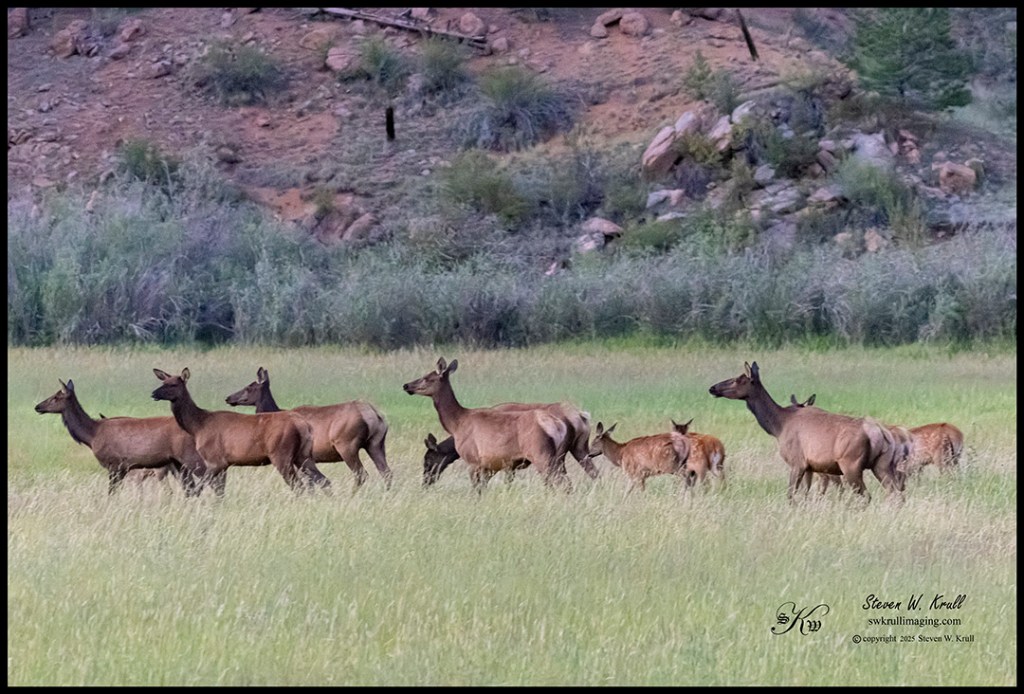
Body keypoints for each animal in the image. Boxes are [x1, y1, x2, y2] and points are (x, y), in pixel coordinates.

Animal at [34, 379, 205, 496]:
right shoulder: (124, 468)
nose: (37, 406)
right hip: (177, 464)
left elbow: (111, 493)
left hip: (191, 458)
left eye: (56, 397)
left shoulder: (114, 464)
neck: (92, 436)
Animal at [151, 368, 330, 495]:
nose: (153, 393)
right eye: (163, 382)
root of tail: (303, 426)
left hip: (281, 454)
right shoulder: (223, 465)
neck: (197, 426)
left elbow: (199, 489)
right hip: (304, 455)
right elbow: (219, 491)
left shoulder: (215, 460)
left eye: (173, 384)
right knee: (324, 481)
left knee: (300, 486)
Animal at [225, 366, 393, 491]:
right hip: (376, 444)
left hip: (347, 445)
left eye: (249, 387)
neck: (274, 411)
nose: (228, 398)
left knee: (361, 474)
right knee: (387, 473)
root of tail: (374, 415)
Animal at [402, 358, 571, 493]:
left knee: (561, 483)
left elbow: (476, 490)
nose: (406, 385)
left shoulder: (473, 460)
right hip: (559, 457)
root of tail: (558, 426)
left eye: (426, 378)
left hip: (541, 453)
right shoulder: (491, 465)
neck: (456, 424)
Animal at [708, 361, 905, 504]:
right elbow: (804, 496)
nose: (712, 388)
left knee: (867, 496)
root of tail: (882, 433)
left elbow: (790, 495)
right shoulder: (810, 467)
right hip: (882, 465)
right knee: (897, 494)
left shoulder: (797, 462)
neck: (778, 427)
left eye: (738, 379)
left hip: (851, 465)